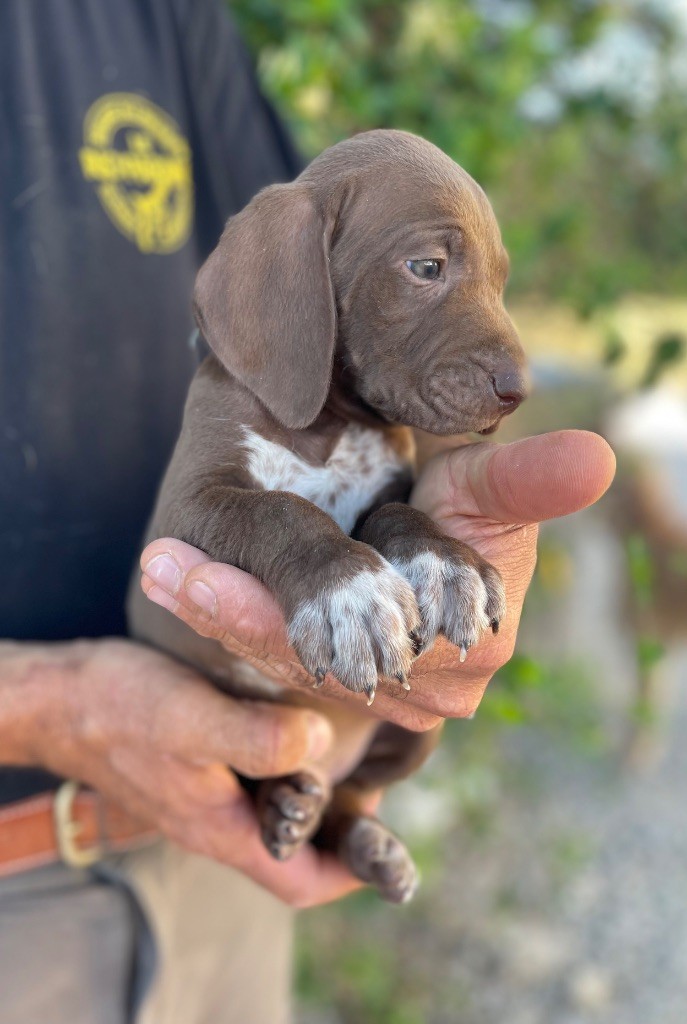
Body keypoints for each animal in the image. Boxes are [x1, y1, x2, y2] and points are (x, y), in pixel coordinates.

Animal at [128, 129, 527, 902]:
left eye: (498, 281)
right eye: (426, 268)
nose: (517, 389)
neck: (328, 426)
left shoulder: (390, 484)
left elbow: (396, 513)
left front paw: (443, 563)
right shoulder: (187, 504)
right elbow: (278, 510)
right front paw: (349, 594)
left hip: (416, 739)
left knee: (352, 794)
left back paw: (364, 843)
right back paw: (282, 803)